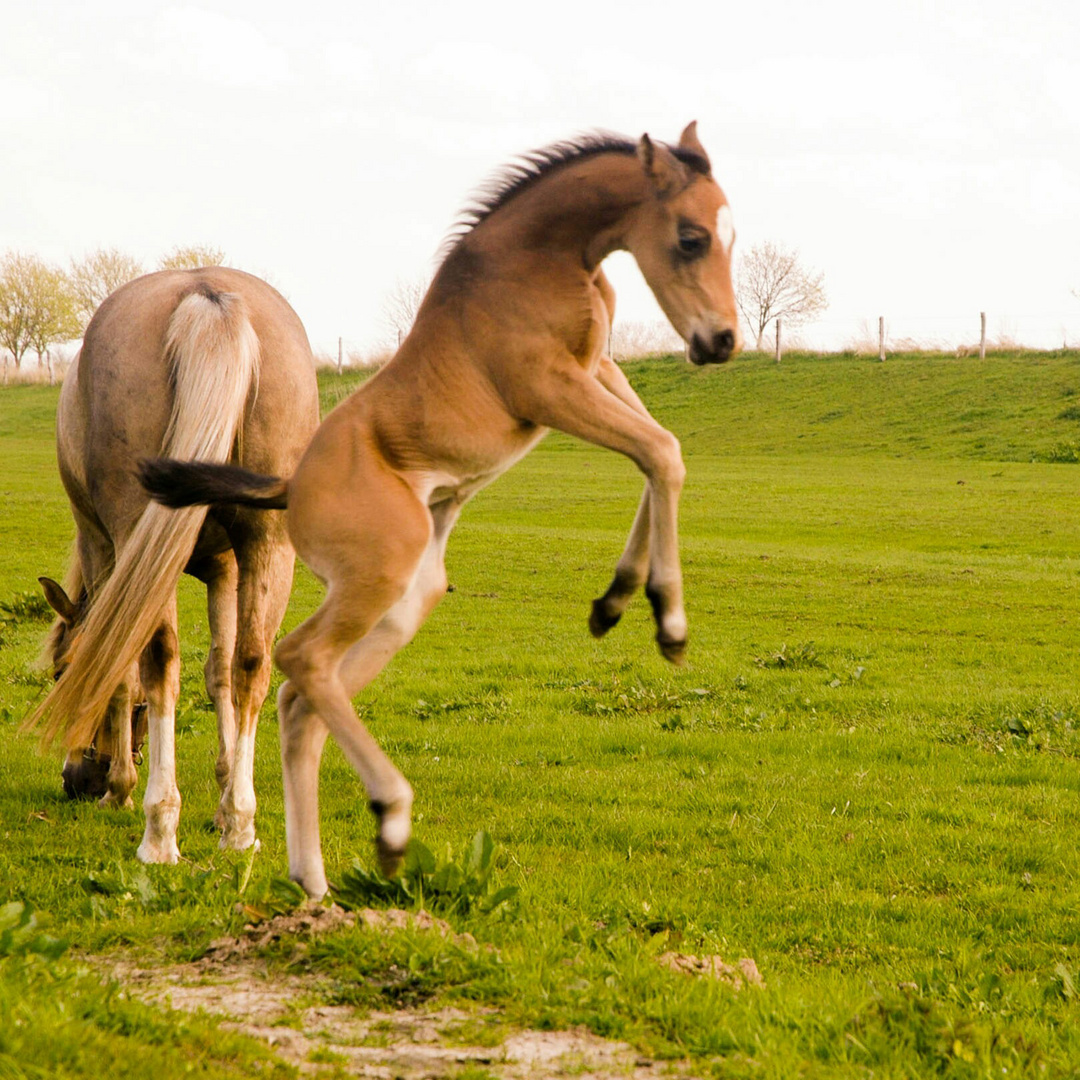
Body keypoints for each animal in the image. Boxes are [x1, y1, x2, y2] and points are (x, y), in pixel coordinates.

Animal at [27, 267, 317, 859]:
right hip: (269, 542)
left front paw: (118, 790)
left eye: (62, 672)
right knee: (253, 664)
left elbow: (119, 669)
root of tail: (206, 297)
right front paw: (227, 799)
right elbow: (222, 671)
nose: (76, 780)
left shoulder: (103, 550)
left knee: (158, 664)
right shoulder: (226, 566)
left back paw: (158, 829)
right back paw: (241, 827)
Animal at [145, 122, 743, 898]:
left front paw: (613, 603)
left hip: (405, 600)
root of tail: (289, 485)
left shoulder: (597, 370)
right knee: (298, 658)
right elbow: (663, 452)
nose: (721, 341)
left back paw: (315, 879)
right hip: (381, 570)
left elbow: (657, 449)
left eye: (731, 235)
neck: (541, 257)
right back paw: (390, 818)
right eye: (692, 238)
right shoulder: (548, 386)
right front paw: (667, 620)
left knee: (303, 696)